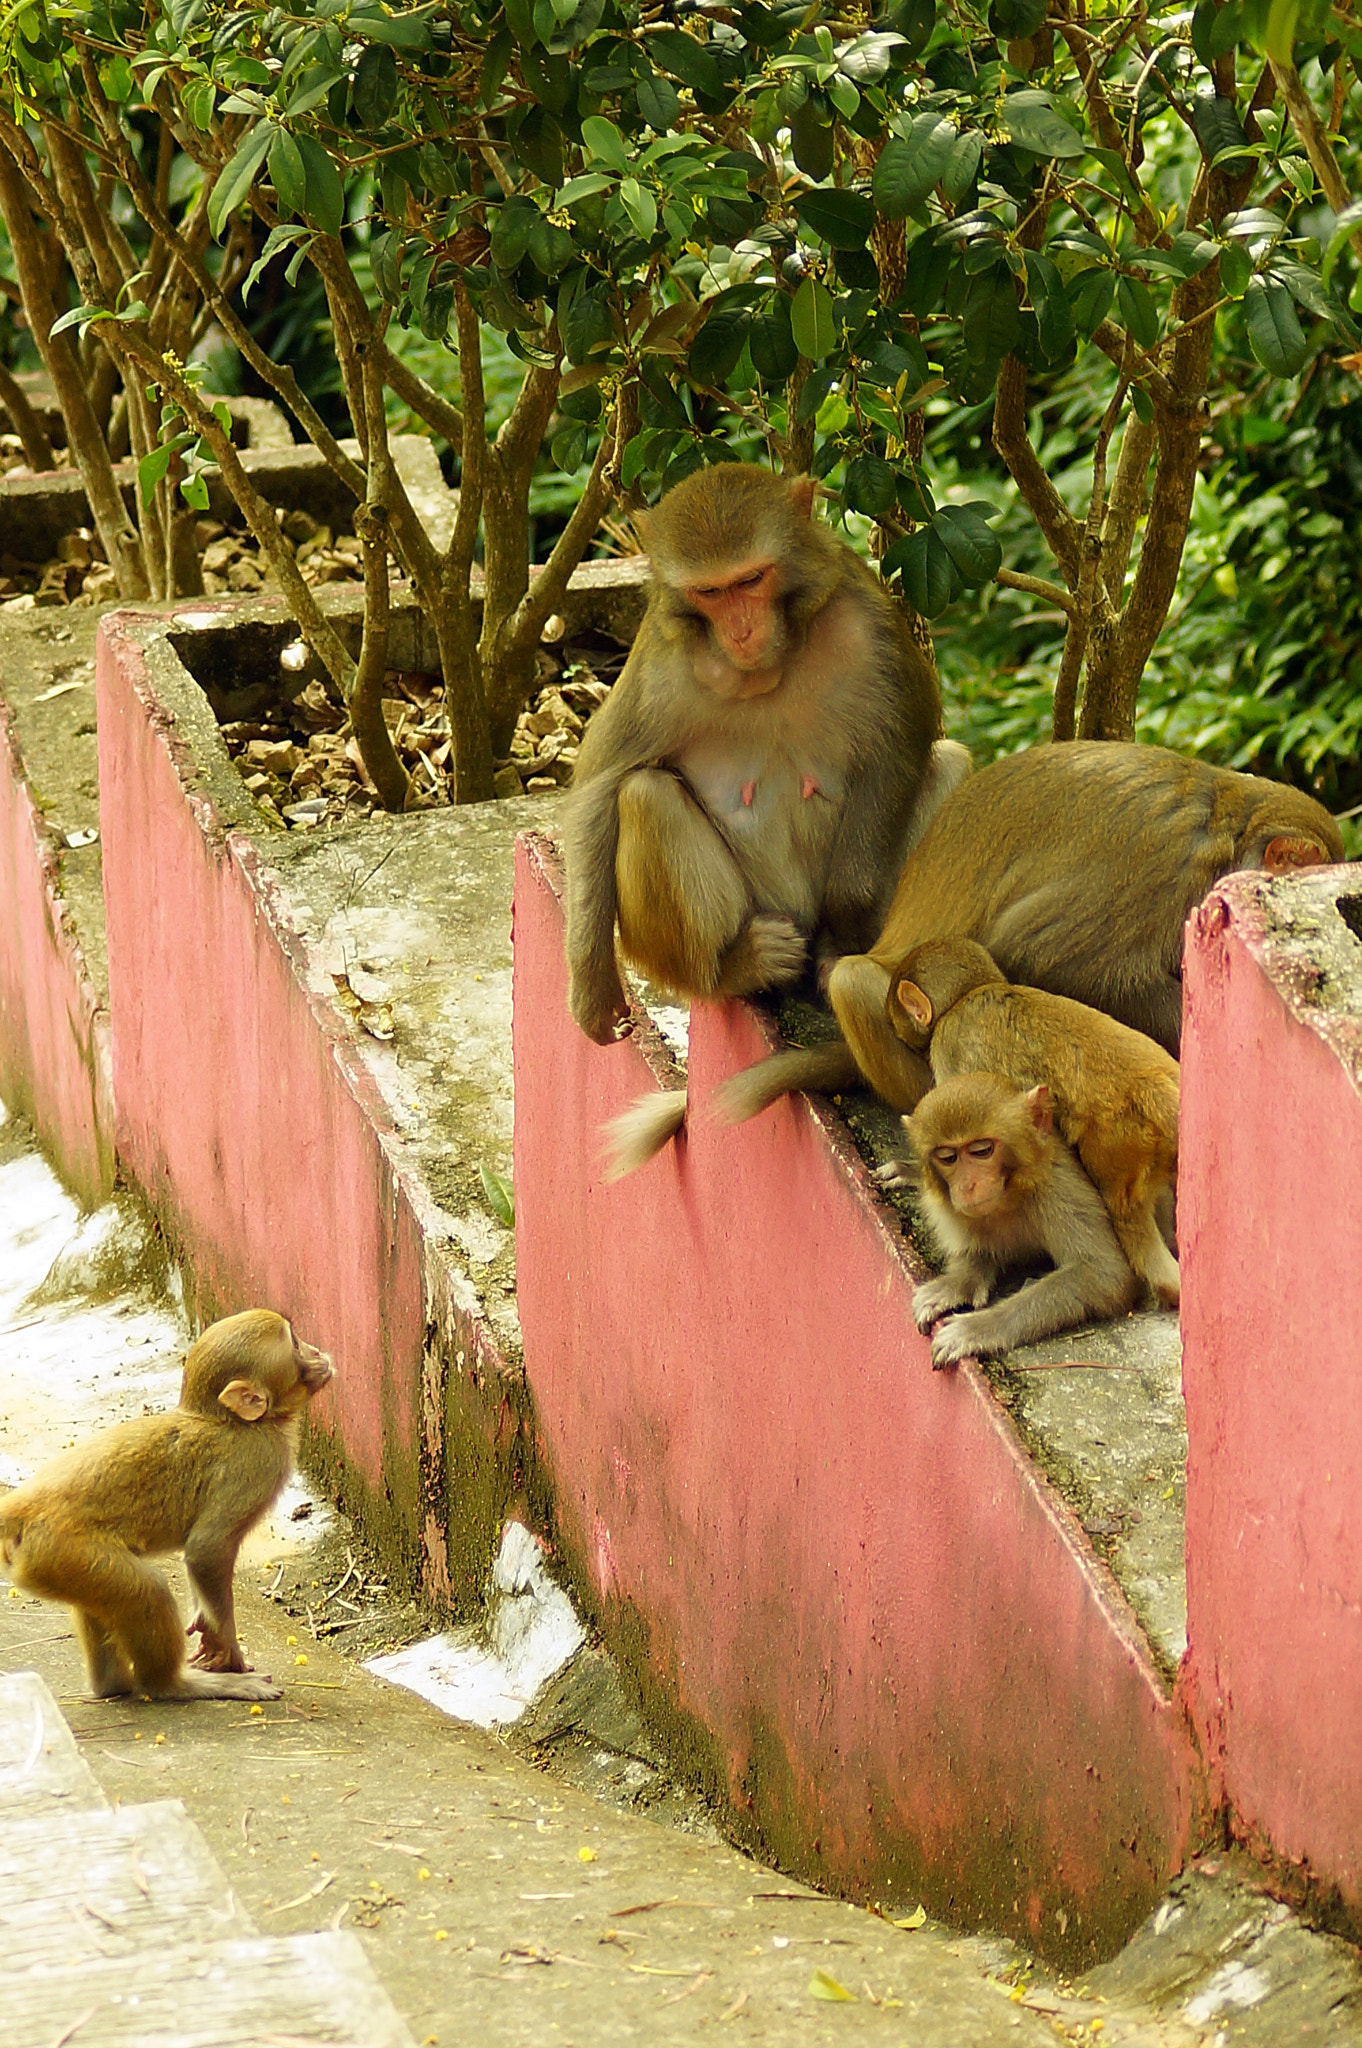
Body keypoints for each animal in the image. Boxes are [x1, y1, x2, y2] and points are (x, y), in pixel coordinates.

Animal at [0, 1302, 329, 1703]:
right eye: (295, 1344)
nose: (318, 1352)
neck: (230, 1419)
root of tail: (21, 1508)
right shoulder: (259, 1463)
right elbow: (206, 1549)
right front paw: (226, 1649)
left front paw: (204, 1623)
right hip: (63, 1551)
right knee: (148, 1593)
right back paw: (174, 1684)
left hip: (56, 1566)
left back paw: (111, 1685)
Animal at [561, 460, 966, 1171]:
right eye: (711, 592)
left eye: (752, 580)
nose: (742, 629)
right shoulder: (662, 659)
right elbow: (601, 783)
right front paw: (591, 987)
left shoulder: (868, 619)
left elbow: (904, 744)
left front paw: (842, 938)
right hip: (734, 922)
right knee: (644, 795)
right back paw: (737, 967)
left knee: (948, 763)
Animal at [880, 937, 1179, 1302]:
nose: (897, 1030)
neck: (968, 996)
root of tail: (1156, 1080)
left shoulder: (949, 1046)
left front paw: (915, 1172)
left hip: (1121, 1145)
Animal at [888, 1073, 1138, 1376]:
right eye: (947, 1157)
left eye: (982, 1151)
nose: (967, 1186)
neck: (1008, 1197)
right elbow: (978, 1253)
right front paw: (956, 1284)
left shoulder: (1058, 1188)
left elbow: (1103, 1273)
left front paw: (977, 1327)